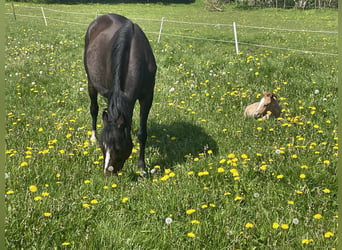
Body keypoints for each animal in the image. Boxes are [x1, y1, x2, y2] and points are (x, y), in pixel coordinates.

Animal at [84, 12, 156, 175]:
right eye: (103, 145)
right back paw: (92, 137)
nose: (107, 173)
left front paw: (142, 168)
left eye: (118, 147)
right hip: (91, 81)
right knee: (94, 109)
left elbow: (142, 133)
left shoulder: (147, 97)